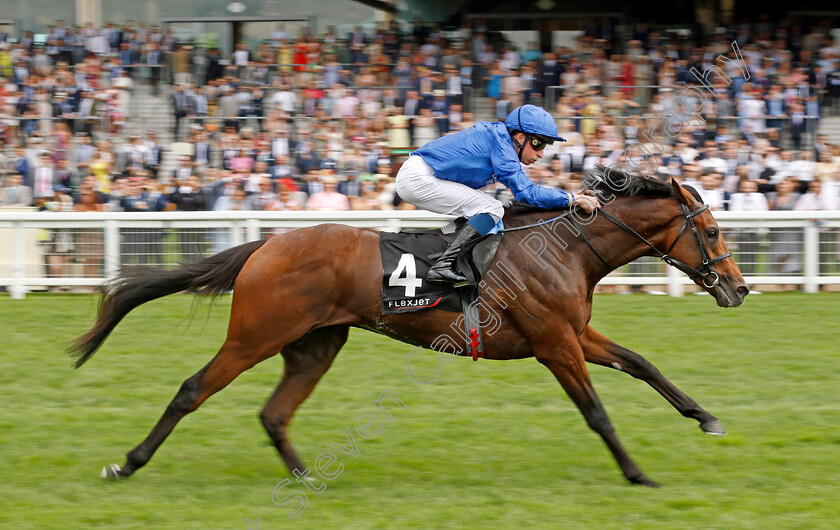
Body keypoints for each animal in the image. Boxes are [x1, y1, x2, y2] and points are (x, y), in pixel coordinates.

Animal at [74, 171, 748, 484]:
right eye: (713, 231)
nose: (740, 288)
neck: (565, 247)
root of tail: (266, 244)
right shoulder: (554, 344)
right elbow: (597, 413)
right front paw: (637, 473)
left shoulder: (573, 334)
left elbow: (641, 362)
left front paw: (707, 418)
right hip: (255, 335)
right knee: (194, 389)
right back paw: (127, 464)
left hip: (314, 345)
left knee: (274, 413)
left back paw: (306, 479)